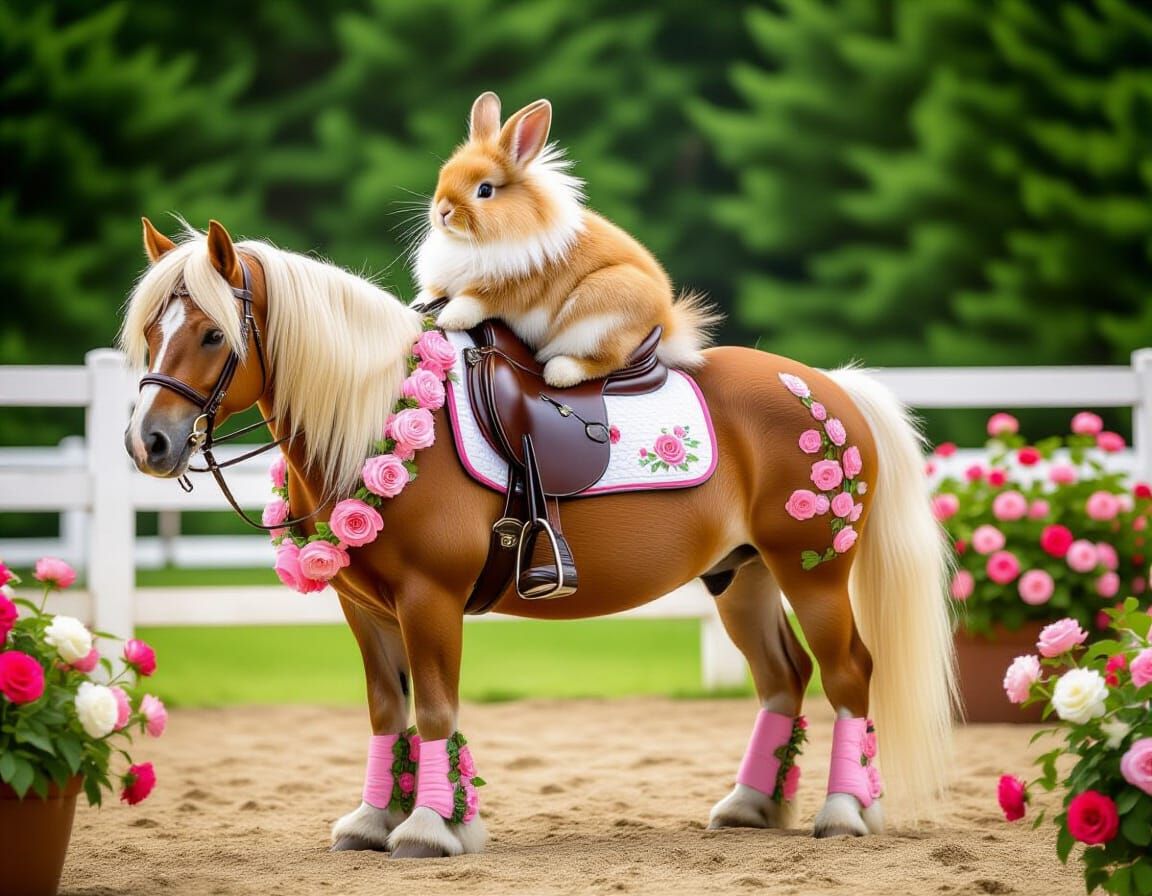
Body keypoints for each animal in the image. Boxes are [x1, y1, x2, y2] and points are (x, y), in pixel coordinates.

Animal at [121, 217, 957, 859]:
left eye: (210, 334)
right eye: (151, 333)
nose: (148, 443)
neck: (379, 418)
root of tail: (832, 385)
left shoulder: (430, 602)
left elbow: (435, 710)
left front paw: (431, 827)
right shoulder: (366, 611)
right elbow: (387, 713)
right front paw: (374, 819)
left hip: (812, 572)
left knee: (849, 674)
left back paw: (845, 811)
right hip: (739, 576)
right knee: (783, 676)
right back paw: (752, 804)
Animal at [414, 91, 718, 388]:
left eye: (485, 190)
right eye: (445, 174)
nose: (442, 211)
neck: (470, 242)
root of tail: (667, 323)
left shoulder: (507, 289)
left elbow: (472, 301)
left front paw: (450, 318)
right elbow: (434, 293)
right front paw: (422, 302)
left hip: (598, 317)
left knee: (608, 360)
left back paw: (560, 371)